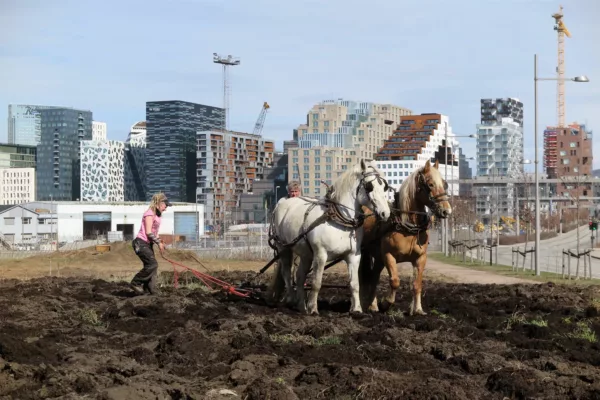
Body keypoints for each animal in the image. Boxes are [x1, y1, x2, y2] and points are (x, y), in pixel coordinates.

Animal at [270, 160, 392, 316]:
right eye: (369, 187)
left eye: (384, 186)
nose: (385, 213)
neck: (340, 220)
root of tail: (282, 203)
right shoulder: (320, 254)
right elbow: (317, 282)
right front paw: (313, 308)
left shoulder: (353, 255)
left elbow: (354, 284)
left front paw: (357, 309)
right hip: (284, 247)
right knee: (287, 272)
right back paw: (292, 300)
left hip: (306, 254)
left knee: (299, 275)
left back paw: (301, 306)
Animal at [356, 159, 450, 316]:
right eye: (430, 184)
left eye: (444, 184)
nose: (446, 211)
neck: (408, 226)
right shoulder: (388, 255)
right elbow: (395, 281)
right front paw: (386, 303)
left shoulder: (420, 258)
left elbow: (417, 284)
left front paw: (417, 309)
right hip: (366, 253)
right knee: (365, 277)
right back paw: (373, 304)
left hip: (379, 258)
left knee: (374, 277)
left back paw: (372, 305)